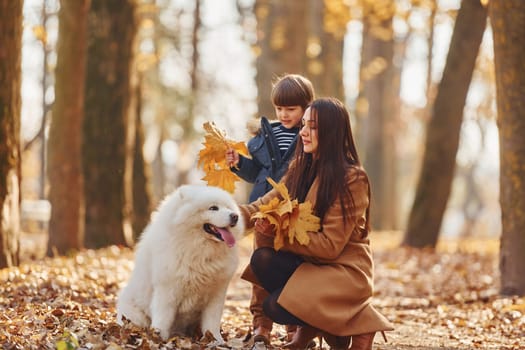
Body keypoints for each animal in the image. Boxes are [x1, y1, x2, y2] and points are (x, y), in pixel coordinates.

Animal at [116, 186, 244, 342]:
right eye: (213, 208)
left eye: (228, 207)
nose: (235, 216)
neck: (200, 252)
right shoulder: (167, 290)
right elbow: (163, 318)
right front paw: (159, 338)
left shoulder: (217, 293)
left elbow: (212, 322)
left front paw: (216, 341)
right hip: (134, 313)